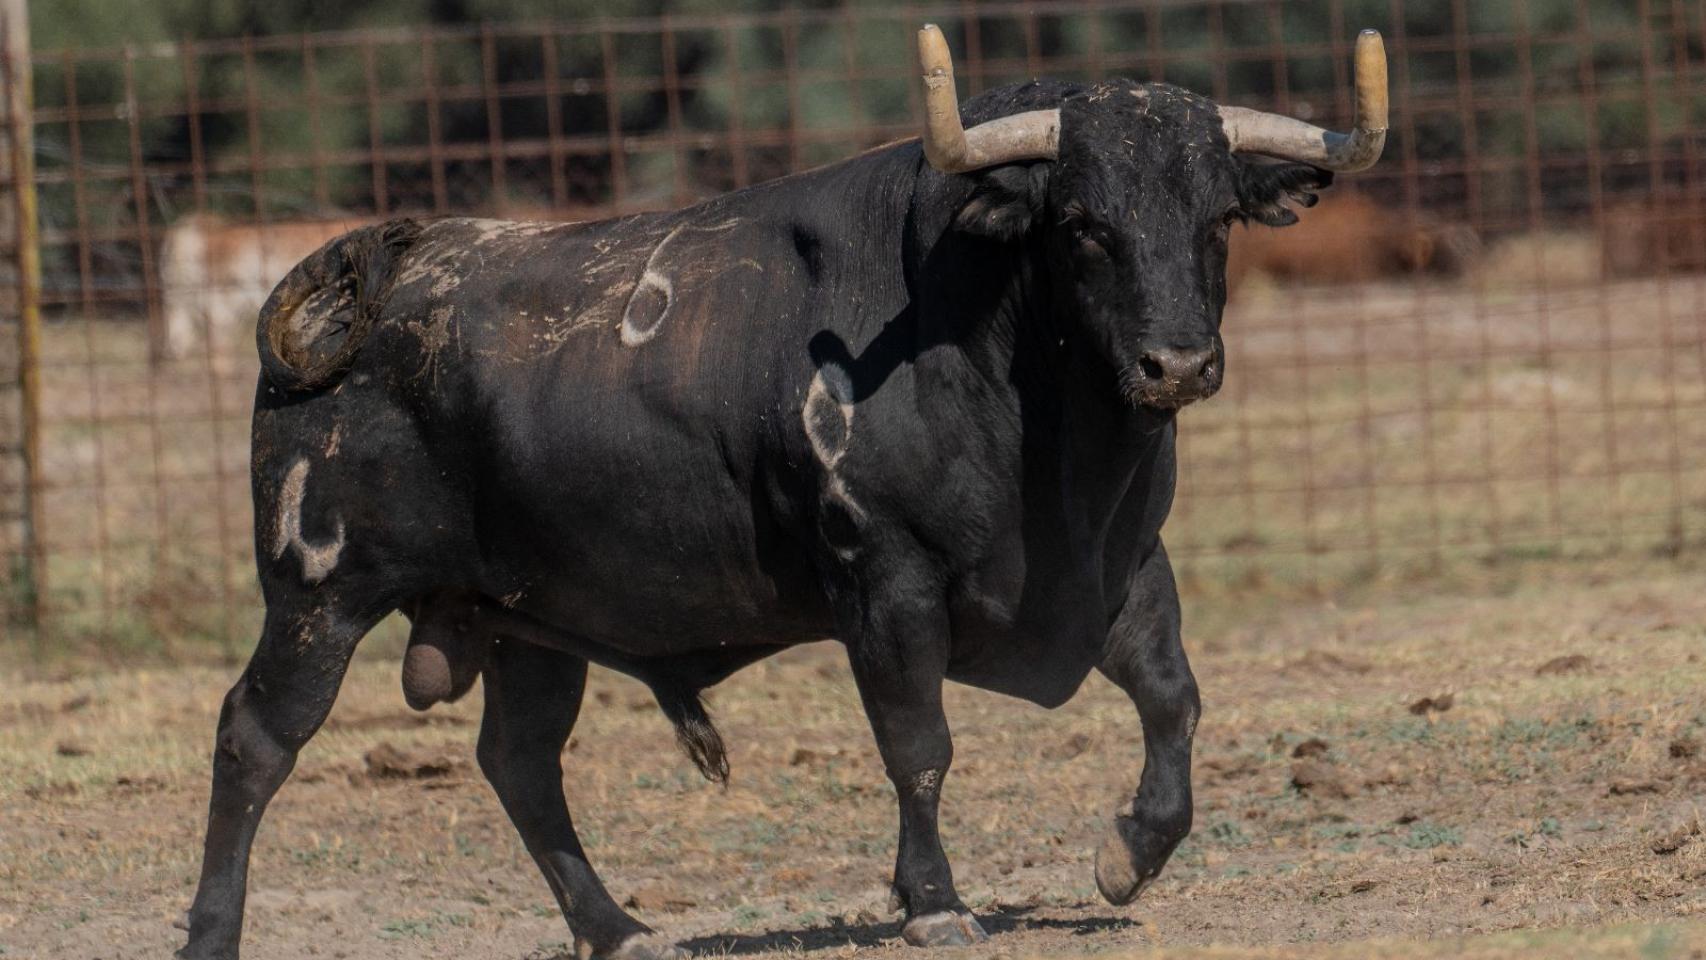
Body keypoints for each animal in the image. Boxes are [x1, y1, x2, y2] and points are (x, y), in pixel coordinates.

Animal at [179, 80, 1337, 960]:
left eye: (1215, 220)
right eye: (1085, 225)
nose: (1176, 364)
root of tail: (374, 273)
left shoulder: (1124, 567)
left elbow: (1173, 700)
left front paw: (1128, 853)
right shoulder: (886, 585)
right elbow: (918, 746)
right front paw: (934, 903)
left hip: (523, 622)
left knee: (520, 763)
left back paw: (617, 928)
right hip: (319, 596)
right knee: (254, 741)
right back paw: (213, 934)